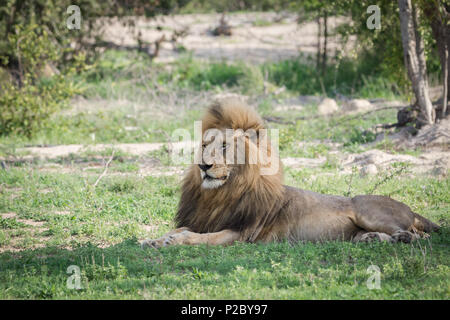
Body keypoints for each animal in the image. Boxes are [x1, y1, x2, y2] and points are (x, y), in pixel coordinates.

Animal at [142, 99, 440, 249]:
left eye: (224, 146)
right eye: (204, 146)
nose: (203, 166)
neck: (222, 194)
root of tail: (409, 208)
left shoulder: (241, 234)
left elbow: (199, 237)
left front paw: (174, 240)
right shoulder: (206, 219)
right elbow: (180, 228)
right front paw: (153, 239)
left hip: (370, 212)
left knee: (419, 236)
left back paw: (401, 237)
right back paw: (371, 239)